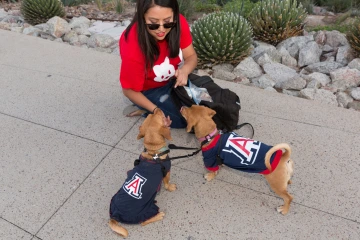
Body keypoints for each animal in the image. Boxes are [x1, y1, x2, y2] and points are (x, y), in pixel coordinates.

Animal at [109, 109, 177, 238]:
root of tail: (114, 216)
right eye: (158, 115)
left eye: (152, 114)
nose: (155, 109)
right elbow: (167, 183)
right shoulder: (167, 171)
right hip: (149, 209)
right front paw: (171, 187)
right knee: (143, 222)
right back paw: (158, 215)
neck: (153, 152)